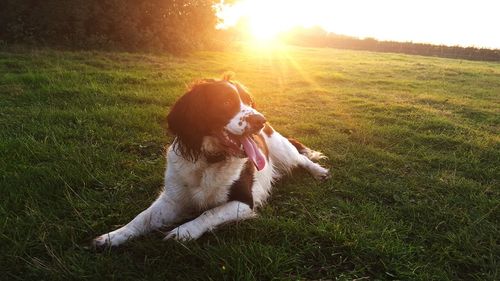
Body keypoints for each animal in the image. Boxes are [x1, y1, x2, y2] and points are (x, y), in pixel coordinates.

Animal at [92, 73, 330, 246]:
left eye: (249, 101)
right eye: (225, 102)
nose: (260, 119)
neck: (209, 160)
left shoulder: (245, 201)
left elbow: (210, 212)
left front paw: (184, 230)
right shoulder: (173, 199)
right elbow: (143, 217)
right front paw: (114, 235)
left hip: (282, 150)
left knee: (300, 158)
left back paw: (319, 172)